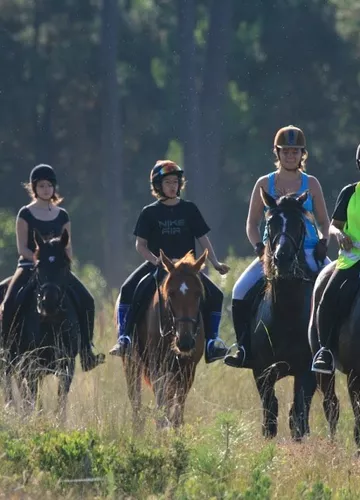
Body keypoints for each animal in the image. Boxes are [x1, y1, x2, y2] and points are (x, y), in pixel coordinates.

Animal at [1, 231, 80, 418]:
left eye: (64, 265)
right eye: (38, 266)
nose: (49, 303)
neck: (51, 323)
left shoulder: (67, 366)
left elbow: (61, 401)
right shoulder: (31, 366)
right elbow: (31, 397)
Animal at [119, 250, 207, 430]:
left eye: (197, 293)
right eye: (171, 293)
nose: (185, 342)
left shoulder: (188, 370)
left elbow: (178, 410)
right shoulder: (157, 365)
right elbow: (162, 402)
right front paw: (161, 429)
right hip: (131, 363)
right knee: (136, 400)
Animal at [249, 189, 316, 440]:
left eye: (299, 224)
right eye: (271, 223)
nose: (283, 258)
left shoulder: (306, 371)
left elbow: (298, 414)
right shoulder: (262, 371)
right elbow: (270, 413)